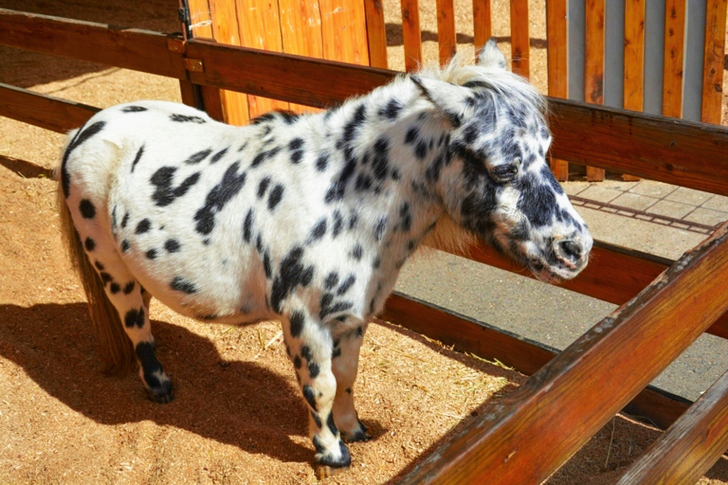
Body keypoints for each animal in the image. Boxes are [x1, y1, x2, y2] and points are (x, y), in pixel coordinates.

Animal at [56, 39, 592, 474]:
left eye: (546, 149)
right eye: (503, 167)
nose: (576, 249)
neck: (340, 201)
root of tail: (87, 126)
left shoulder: (352, 317)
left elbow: (347, 377)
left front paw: (354, 430)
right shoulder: (304, 319)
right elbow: (321, 386)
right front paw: (332, 452)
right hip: (110, 267)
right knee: (133, 321)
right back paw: (159, 384)